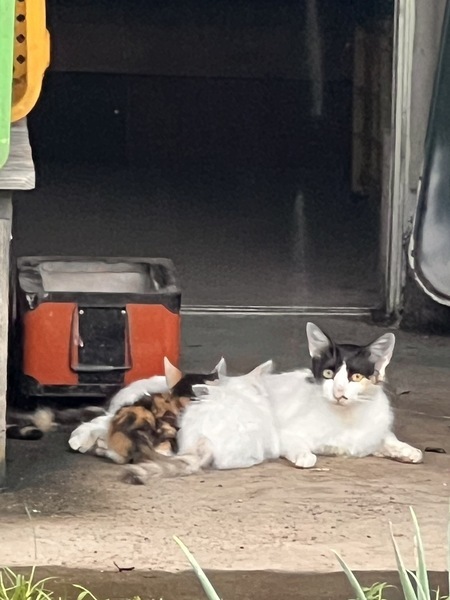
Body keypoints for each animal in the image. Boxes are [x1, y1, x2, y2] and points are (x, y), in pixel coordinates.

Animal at [123, 322, 422, 484]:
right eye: (328, 374)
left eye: (356, 376)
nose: (338, 391)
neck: (348, 417)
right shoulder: (286, 433)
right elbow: (303, 449)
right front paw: (305, 456)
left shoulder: (369, 436)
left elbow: (386, 440)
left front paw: (407, 450)